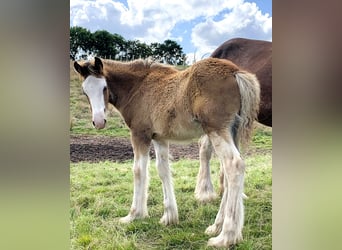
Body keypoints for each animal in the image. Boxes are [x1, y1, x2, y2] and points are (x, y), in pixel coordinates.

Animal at [73, 55, 260, 247]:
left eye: (104, 87)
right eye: (85, 91)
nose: (99, 122)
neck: (138, 87)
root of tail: (235, 72)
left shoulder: (140, 134)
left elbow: (139, 171)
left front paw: (134, 214)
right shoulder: (160, 138)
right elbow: (163, 170)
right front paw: (169, 216)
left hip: (216, 130)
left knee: (234, 165)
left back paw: (226, 236)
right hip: (232, 131)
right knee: (229, 173)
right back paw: (216, 226)